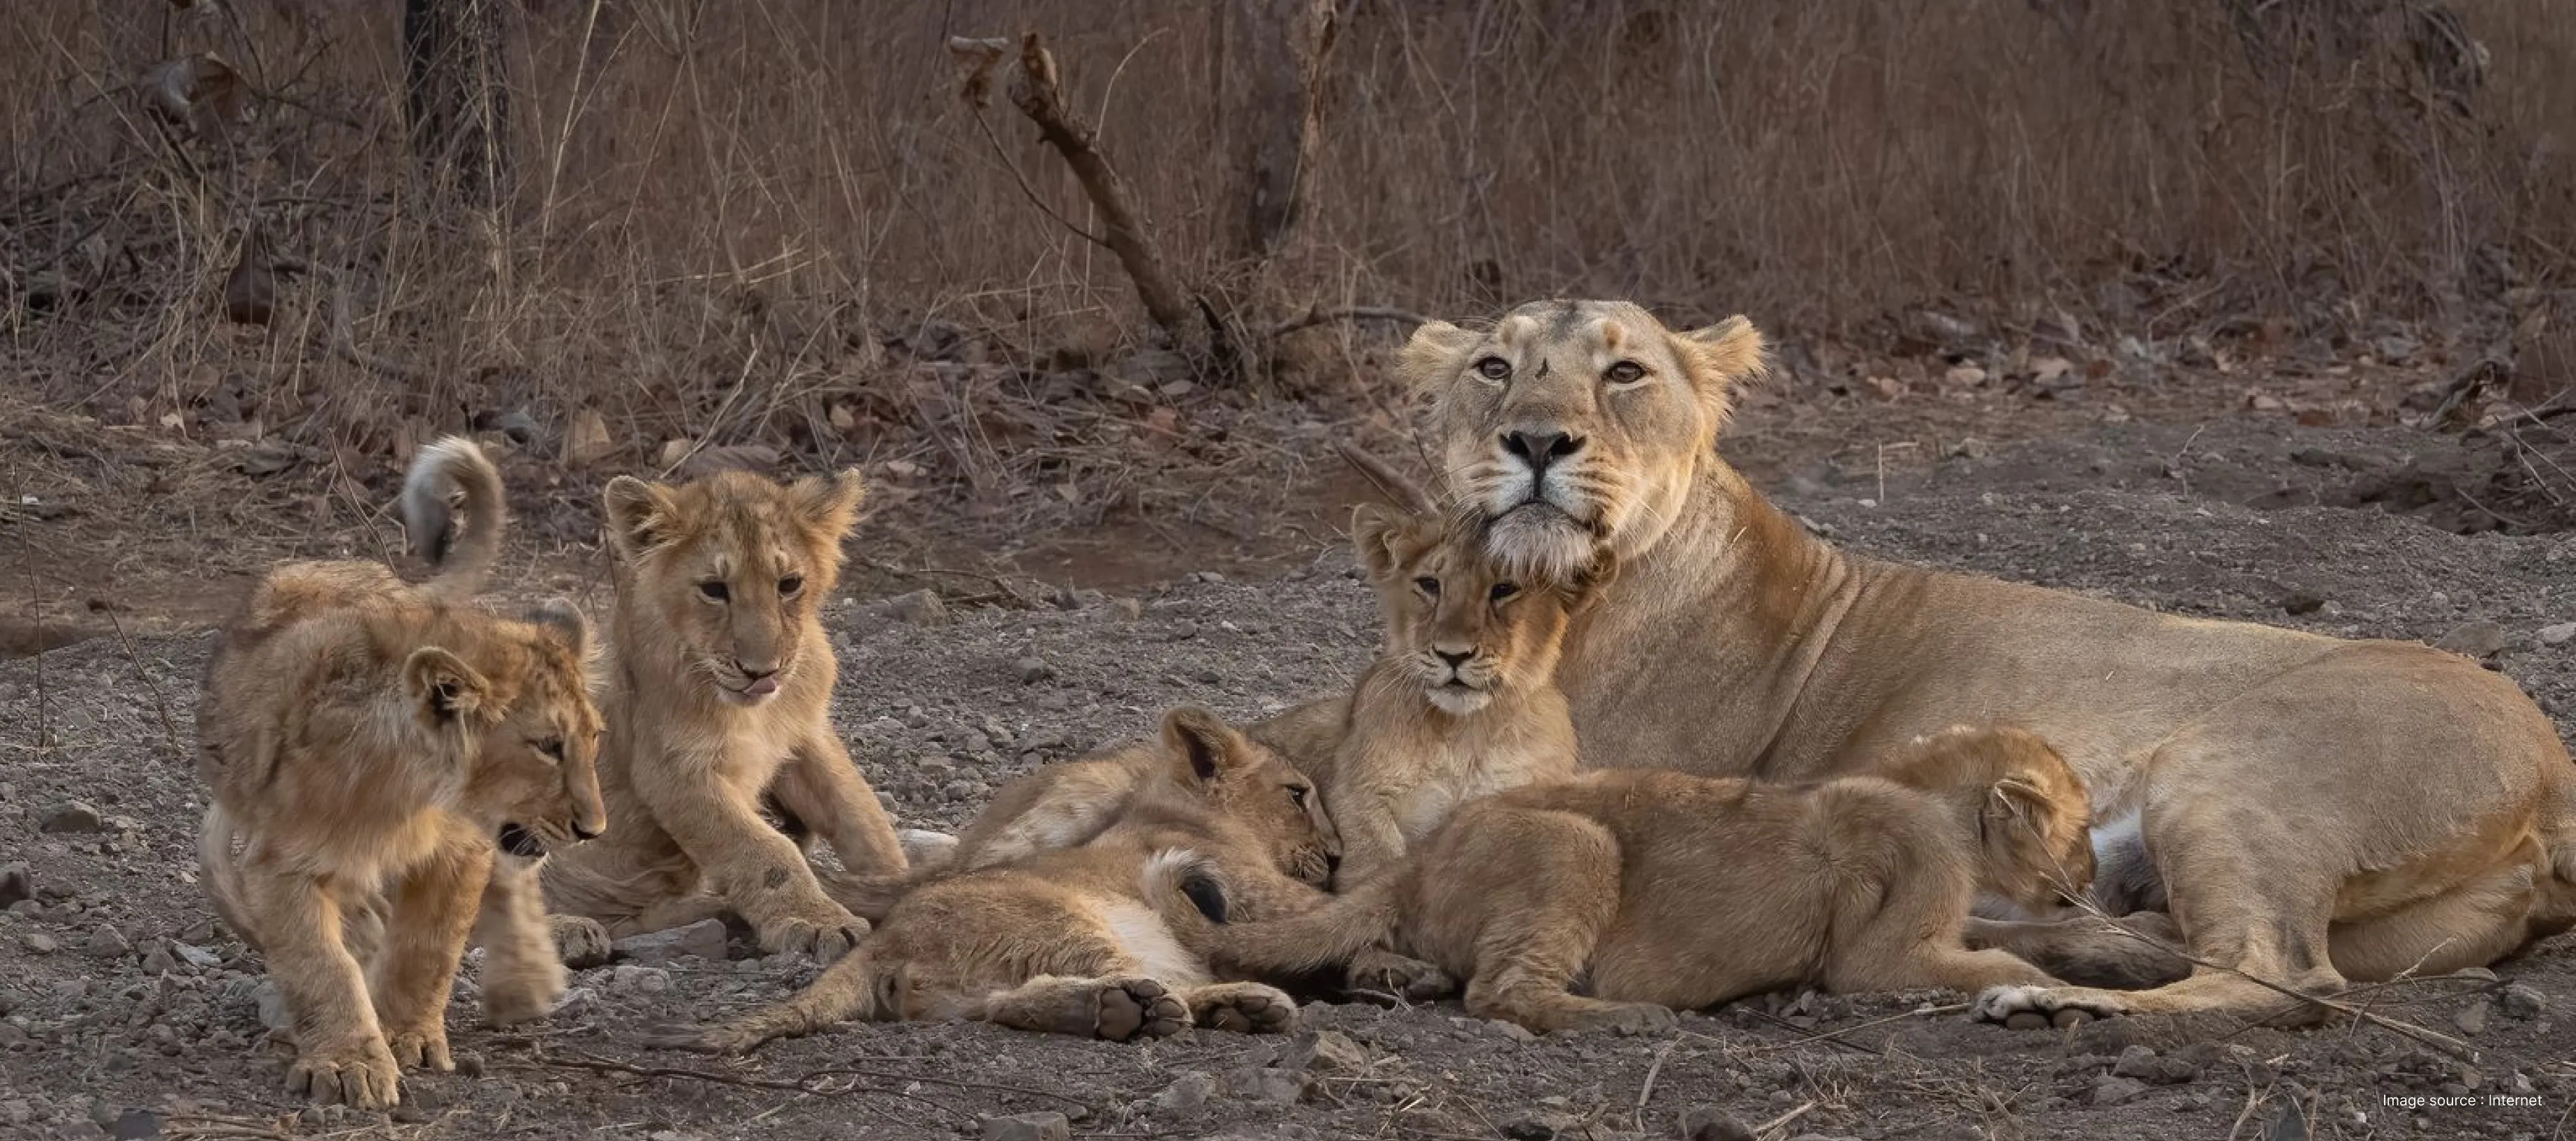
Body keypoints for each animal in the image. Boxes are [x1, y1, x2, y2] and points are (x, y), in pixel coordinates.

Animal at [194, 437, 608, 1109]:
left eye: (594, 739)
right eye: (547, 746)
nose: (594, 828)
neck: (406, 794)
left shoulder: (462, 850)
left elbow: (429, 948)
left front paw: (405, 1035)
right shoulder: (280, 861)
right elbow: (320, 962)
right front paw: (348, 1062)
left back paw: (523, 979)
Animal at [540, 465, 909, 961]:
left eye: (788, 583)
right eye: (714, 590)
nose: (761, 671)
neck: (757, 710)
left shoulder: (805, 738)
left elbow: (863, 816)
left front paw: (900, 887)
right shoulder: (672, 772)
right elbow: (763, 849)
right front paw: (817, 921)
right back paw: (572, 932)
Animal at [646, 708, 1336, 1052]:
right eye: (1297, 793)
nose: (1334, 852)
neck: (1181, 808)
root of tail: (881, 941)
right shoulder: (1253, 888)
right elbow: (1323, 909)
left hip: (971, 989)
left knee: (1012, 1004)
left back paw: (1176, 1011)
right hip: (1060, 919)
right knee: (1134, 982)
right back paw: (1211, 1006)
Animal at [1191, 725, 2090, 1034]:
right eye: (2079, 827)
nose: (2088, 874)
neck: (1937, 791)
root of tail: (1423, 853)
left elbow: (2015, 936)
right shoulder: (1882, 958)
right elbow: (2002, 960)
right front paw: (2046, 991)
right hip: (1576, 844)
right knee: (1501, 993)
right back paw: (1632, 1017)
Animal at [1370, 298, 2576, 1033]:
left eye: (1623, 371)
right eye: (1493, 367)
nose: (1535, 440)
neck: (1562, 600)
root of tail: (2553, 763)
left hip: (2228, 761)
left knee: (2283, 972)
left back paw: (2059, 1004)